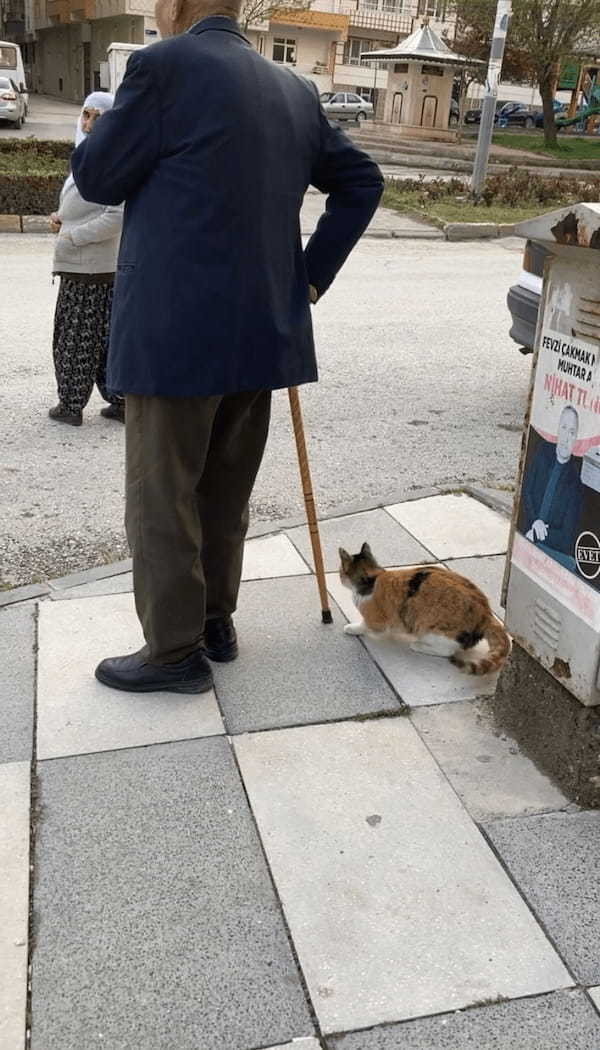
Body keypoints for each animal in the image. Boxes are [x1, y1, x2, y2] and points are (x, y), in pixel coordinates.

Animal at [338, 546, 512, 676]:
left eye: (340, 571)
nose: (339, 577)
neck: (373, 577)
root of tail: (486, 613)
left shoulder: (377, 620)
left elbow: (365, 625)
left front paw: (352, 628)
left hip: (431, 629)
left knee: (448, 651)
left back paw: (418, 645)